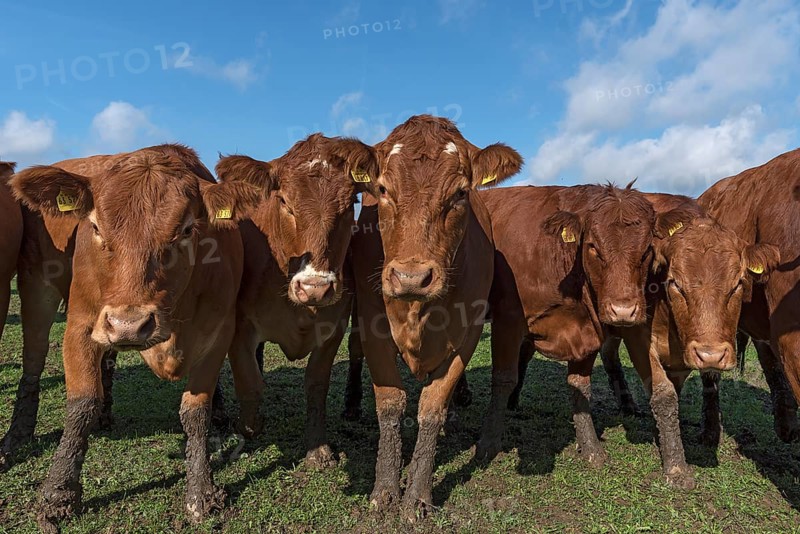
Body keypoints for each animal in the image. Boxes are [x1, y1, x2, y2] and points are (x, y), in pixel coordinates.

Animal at [10, 144, 261, 529]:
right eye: (95, 227)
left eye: (187, 229)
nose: (129, 325)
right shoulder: (81, 324)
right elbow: (81, 405)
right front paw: (58, 493)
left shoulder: (220, 331)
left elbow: (196, 412)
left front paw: (201, 492)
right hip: (37, 290)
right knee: (33, 363)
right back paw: (16, 436)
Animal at [214, 134, 377, 467]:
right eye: (284, 202)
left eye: (350, 205)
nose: (315, 287)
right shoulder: (239, 327)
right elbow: (250, 383)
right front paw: (247, 428)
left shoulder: (333, 328)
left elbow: (316, 384)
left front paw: (318, 448)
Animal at [350, 115, 522, 519]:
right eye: (383, 189)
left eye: (460, 193)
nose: (411, 277)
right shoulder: (371, 325)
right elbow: (390, 405)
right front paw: (385, 490)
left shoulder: (467, 334)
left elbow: (431, 407)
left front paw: (417, 495)